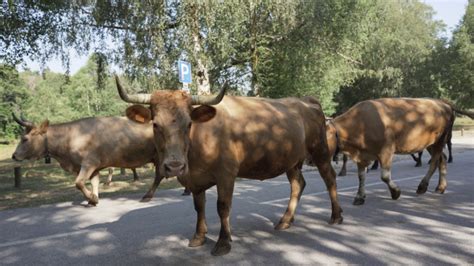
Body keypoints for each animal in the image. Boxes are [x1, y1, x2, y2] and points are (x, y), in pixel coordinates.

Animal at [11, 113, 165, 205]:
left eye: (25, 139)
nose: (13, 155)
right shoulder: (94, 167)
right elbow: (94, 182)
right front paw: (94, 198)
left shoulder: (89, 163)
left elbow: (79, 182)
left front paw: (91, 198)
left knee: (159, 175)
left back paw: (148, 195)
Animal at [116, 75, 342, 256]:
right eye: (155, 125)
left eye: (189, 124)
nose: (174, 167)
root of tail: (305, 100)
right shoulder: (194, 179)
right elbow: (199, 206)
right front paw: (199, 236)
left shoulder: (226, 174)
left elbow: (223, 207)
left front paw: (223, 242)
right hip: (291, 161)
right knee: (298, 184)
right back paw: (285, 220)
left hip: (320, 151)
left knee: (329, 178)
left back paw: (336, 216)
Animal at [328, 98, 472, 205]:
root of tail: (443, 103)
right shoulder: (362, 155)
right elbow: (361, 176)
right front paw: (359, 197)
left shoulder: (386, 150)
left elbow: (385, 176)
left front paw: (395, 192)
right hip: (431, 143)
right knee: (442, 159)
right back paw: (440, 187)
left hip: (441, 139)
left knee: (435, 162)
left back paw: (422, 186)